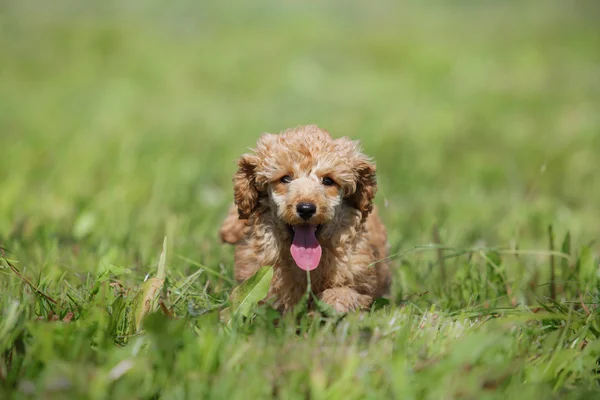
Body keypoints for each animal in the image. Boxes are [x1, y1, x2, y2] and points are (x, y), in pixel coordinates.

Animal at [218, 125, 392, 312]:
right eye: (285, 178)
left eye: (328, 181)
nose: (306, 209)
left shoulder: (359, 276)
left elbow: (345, 293)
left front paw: (331, 304)